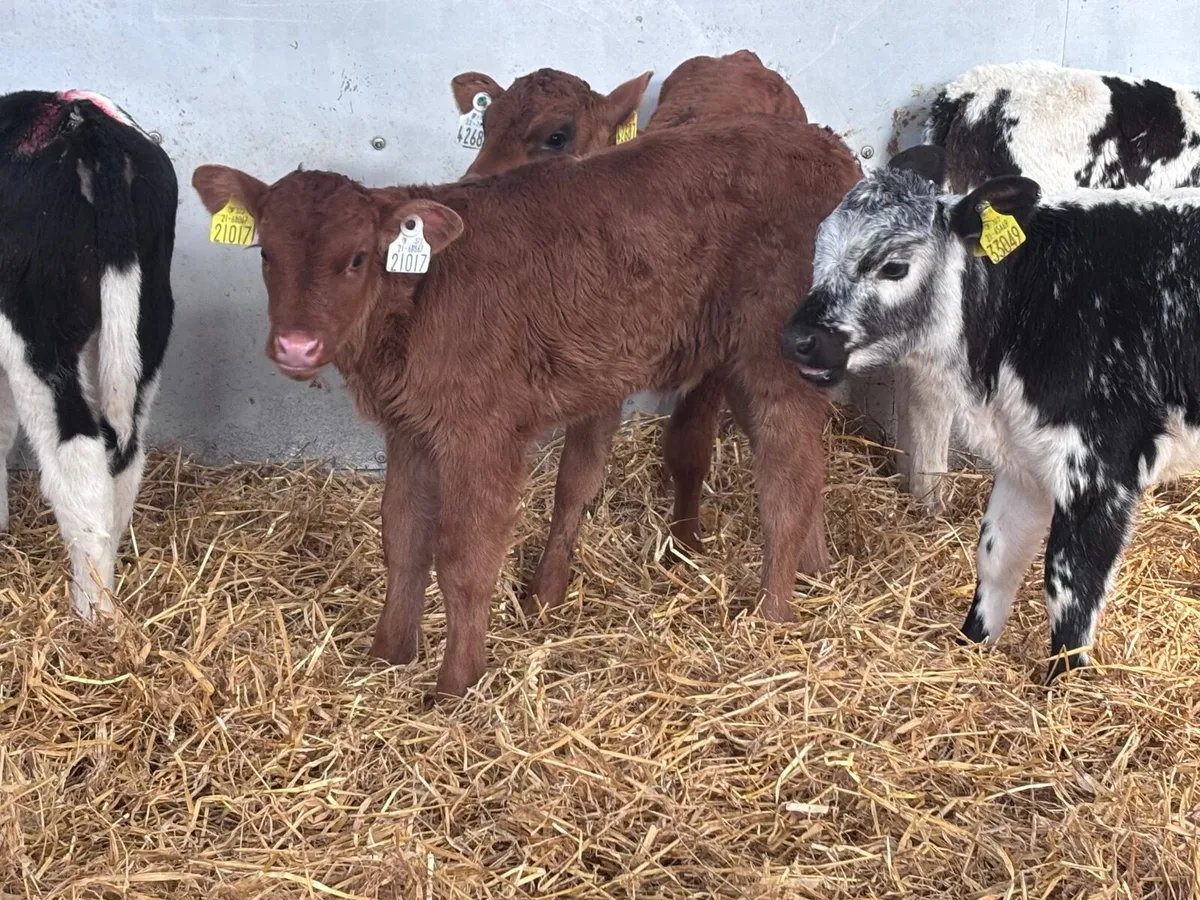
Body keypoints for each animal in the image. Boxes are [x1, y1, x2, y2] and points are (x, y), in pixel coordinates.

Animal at [0, 90, 177, 619]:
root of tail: (80, 121)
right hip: (149, 321)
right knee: (125, 458)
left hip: (39, 335)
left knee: (76, 458)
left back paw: (91, 613)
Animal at [193, 117, 860, 700]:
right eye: (265, 254)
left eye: (357, 258)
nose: (296, 346)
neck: (421, 295)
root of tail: (831, 149)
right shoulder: (409, 428)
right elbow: (402, 537)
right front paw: (387, 656)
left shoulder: (481, 433)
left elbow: (463, 559)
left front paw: (455, 685)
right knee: (808, 464)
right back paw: (817, 571)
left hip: (774, 357)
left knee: (784, 480)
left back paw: (771, 616)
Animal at [451, 50, 821, 567]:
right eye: (485, 126)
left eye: (557, 136)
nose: (468, 195)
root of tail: (739, 58)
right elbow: (576, 477)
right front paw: (547, 583)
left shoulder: (712, 361)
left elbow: (689, 447)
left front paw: (685, 545)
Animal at [780, 143, 1200, 682]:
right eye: (819, 247)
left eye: (893, 267)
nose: (798, 339)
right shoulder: (1023, 460)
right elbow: (996, 554)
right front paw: (972, 645)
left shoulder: (1102, 469)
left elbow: (1070, 586)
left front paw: (1065, 685)